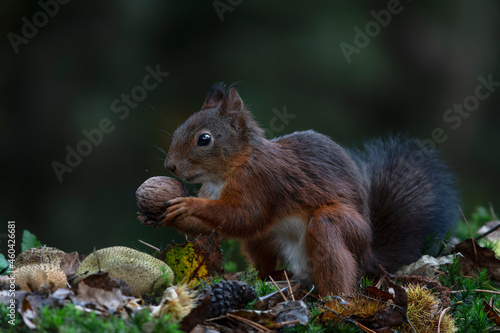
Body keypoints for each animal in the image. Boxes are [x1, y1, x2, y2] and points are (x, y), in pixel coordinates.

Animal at [140, 82, 458, 294]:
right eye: (179, 130)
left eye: (204, 139)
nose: (170, 166)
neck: (229, 171)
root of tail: (369, 253)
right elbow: (213, 228)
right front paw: (159, 216)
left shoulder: (263, 183)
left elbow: (245, 217)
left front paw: (188, 205)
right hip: (264, 241)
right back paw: (263, 278)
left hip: (339, 227)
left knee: (334, 256)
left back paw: (337, 303)